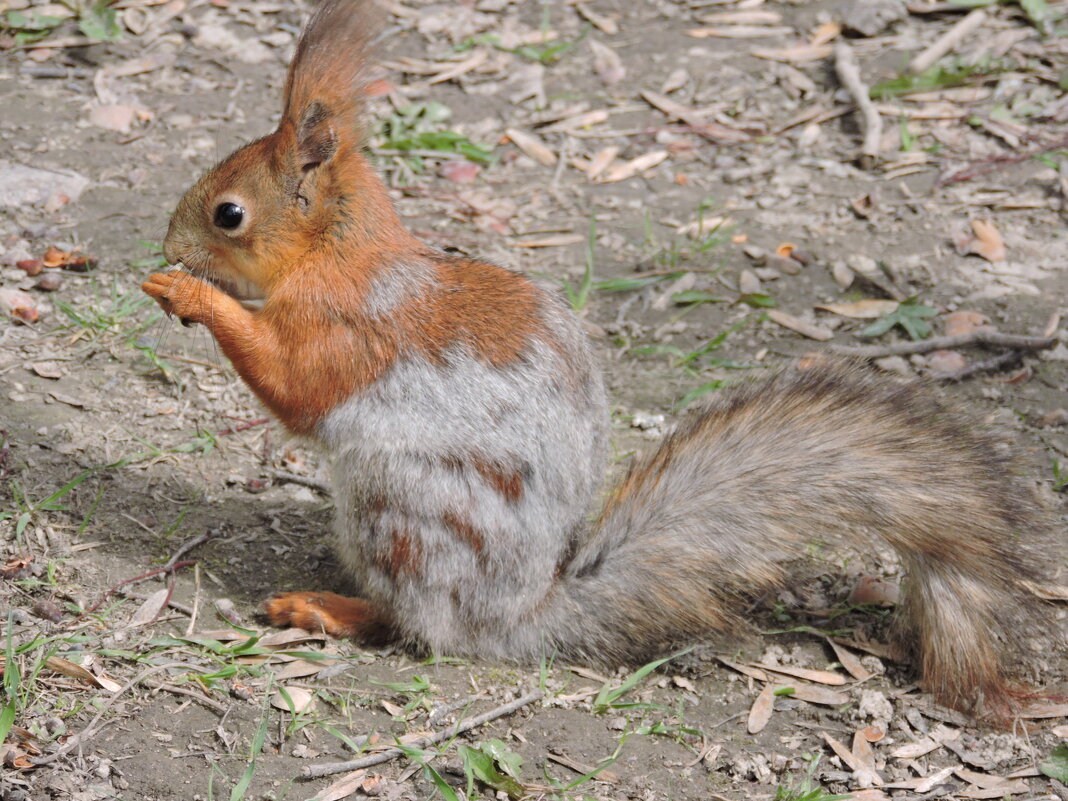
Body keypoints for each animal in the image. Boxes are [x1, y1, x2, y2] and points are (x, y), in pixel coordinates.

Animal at [146, 0, 1055, 721]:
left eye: (229, 214)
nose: (168, 245)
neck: (338, 255)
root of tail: (518, 610)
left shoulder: (343, 332)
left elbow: (292, 387)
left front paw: (189, 294)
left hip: (402, 507)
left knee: (422, 627)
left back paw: (327, 607)